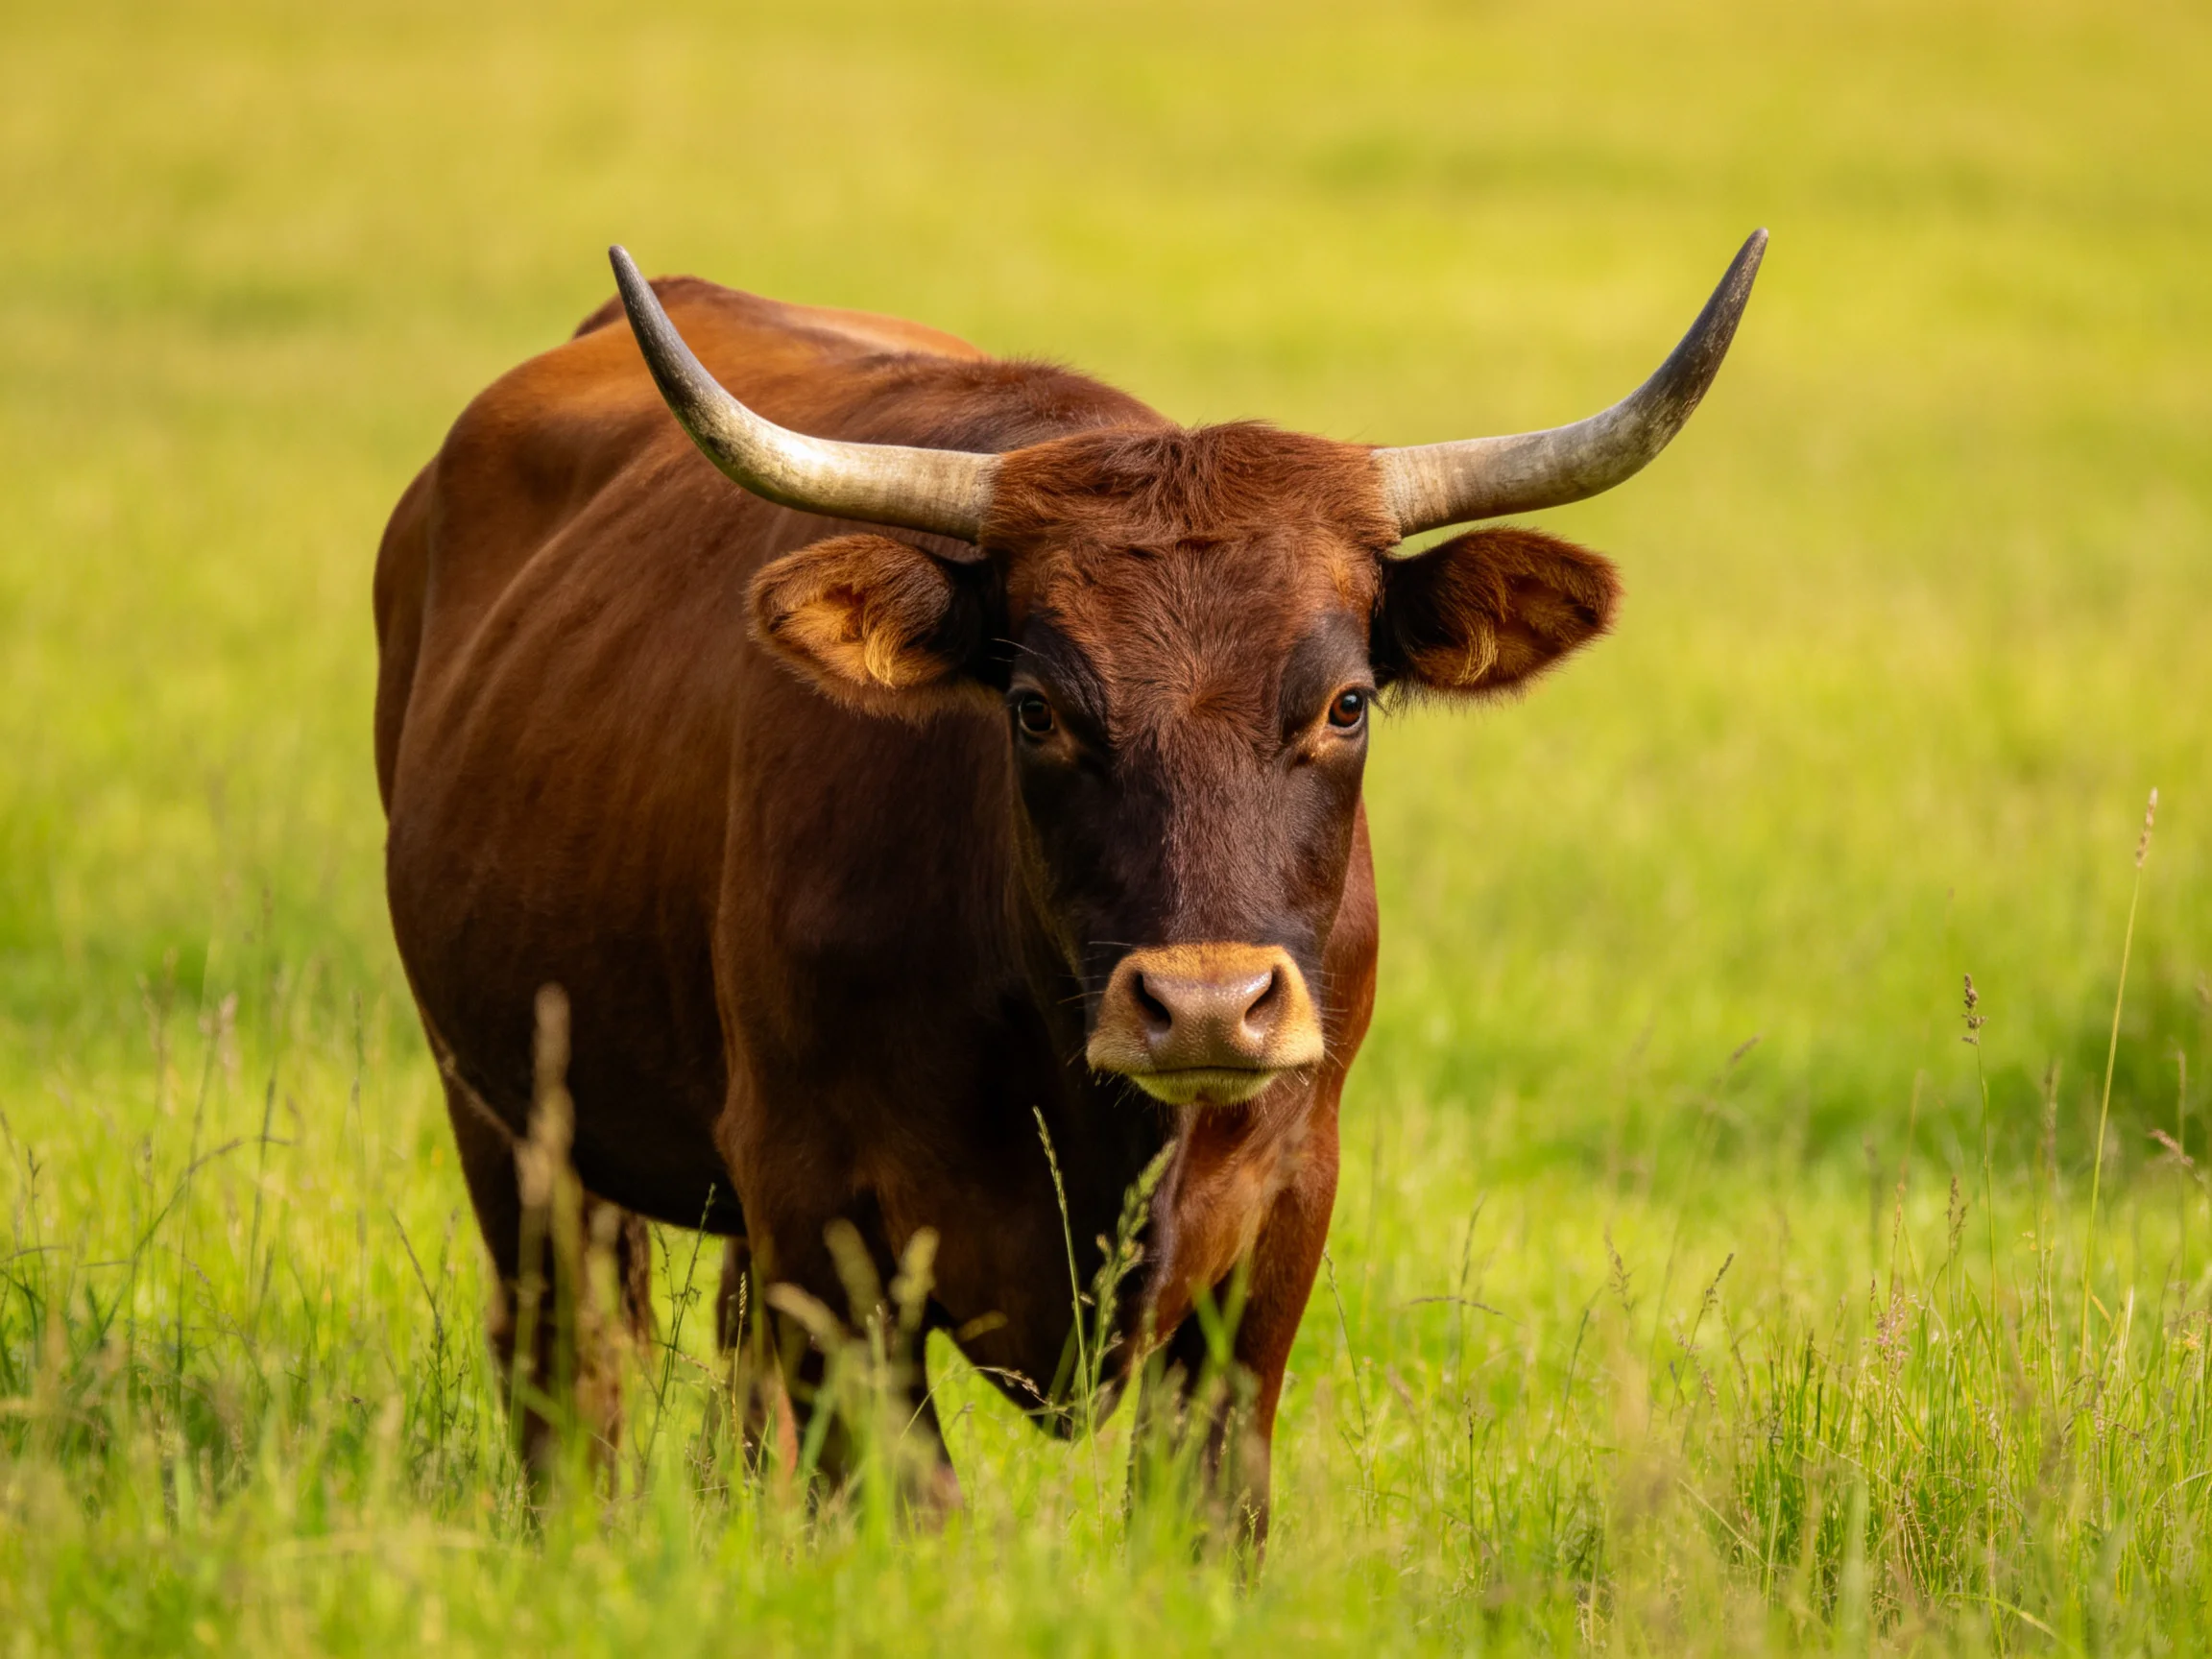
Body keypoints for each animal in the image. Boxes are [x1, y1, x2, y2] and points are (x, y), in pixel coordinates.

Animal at [373, 231, 1763, 1535]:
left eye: (1347, 702)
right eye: (1037, 707)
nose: (1206, 1008)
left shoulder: (1282, 1211)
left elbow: (1205, 1502)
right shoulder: (818, 1205)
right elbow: (903, 1500)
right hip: (505, 1110)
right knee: (568, 1375)